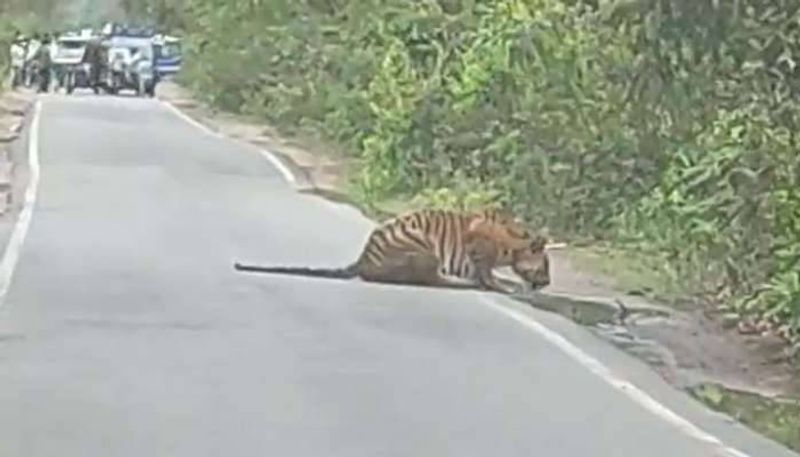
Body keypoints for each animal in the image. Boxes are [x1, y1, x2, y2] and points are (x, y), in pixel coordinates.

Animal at [233, 208, 552, 294]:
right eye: (546, 267)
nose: (548, 282)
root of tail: (363, 258)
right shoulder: (479, 251)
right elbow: (488, 275)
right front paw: (507, 287)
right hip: (423, 245)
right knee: (425, 279)